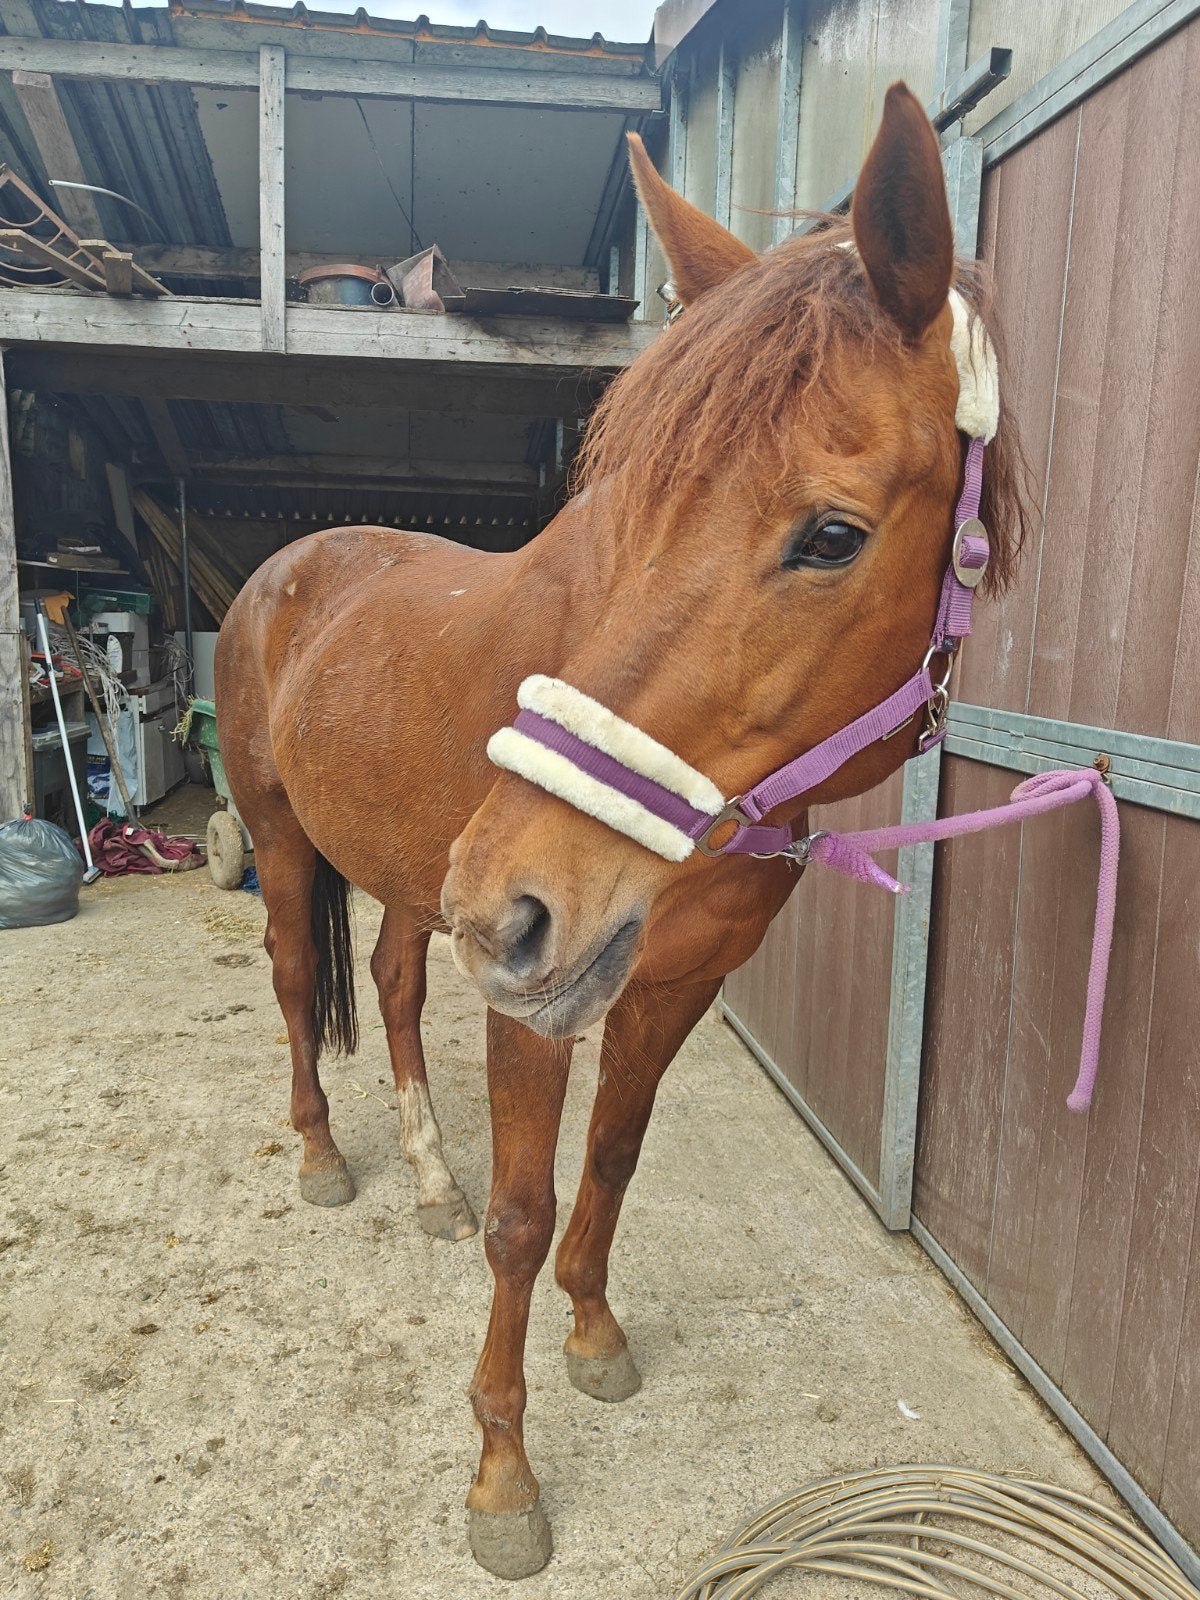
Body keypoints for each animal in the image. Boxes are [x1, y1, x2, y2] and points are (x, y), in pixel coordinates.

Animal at [215, 82, 1026, 1579]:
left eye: (831, 535)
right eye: (632, 498)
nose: (513, 902)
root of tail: (289, 567)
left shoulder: (669, 984)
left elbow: (612, 1161)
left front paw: (593, 1335)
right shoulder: (541, 1002)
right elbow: (527, 1216)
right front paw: (502, 1476)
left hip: (418, 882)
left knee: (396, 986)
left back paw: (428, 1171)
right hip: (298, 842)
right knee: (303, 987)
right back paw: (324, 1156)